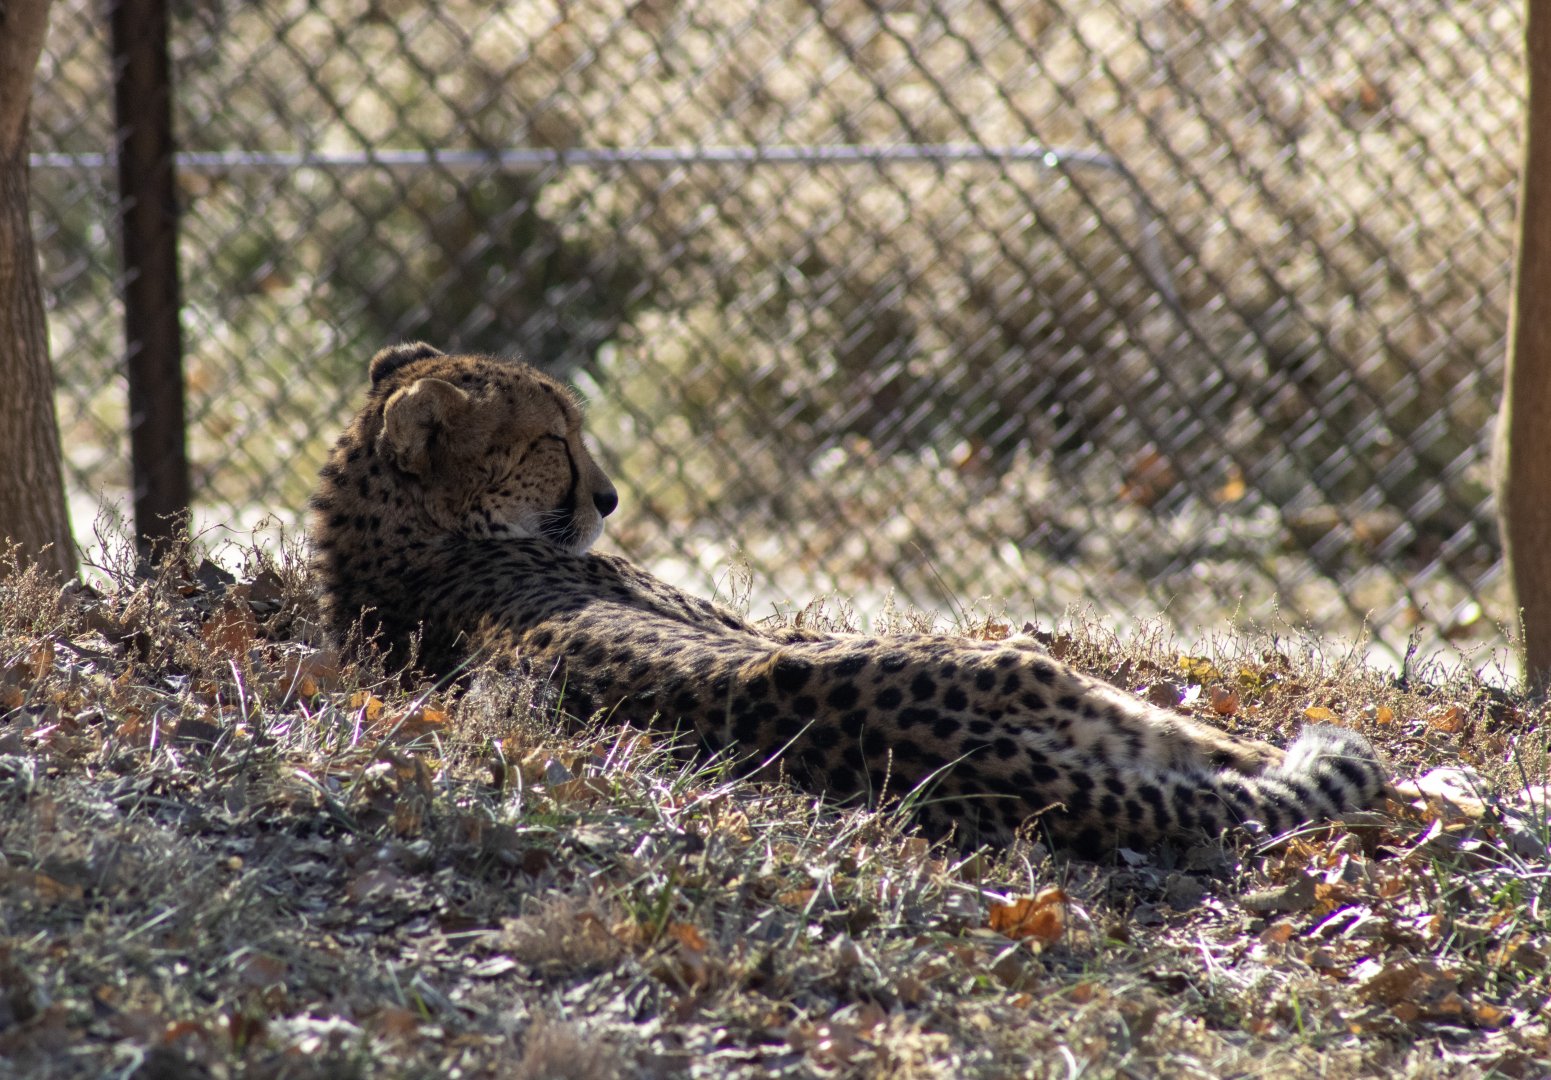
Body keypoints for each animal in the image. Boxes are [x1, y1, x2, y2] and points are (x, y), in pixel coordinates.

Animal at [309, 342, 1388, 854]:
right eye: (549, 441)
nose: (609, 498)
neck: (401, 533)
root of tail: (939, 758)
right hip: (1026, 670)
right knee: (1204, 747)